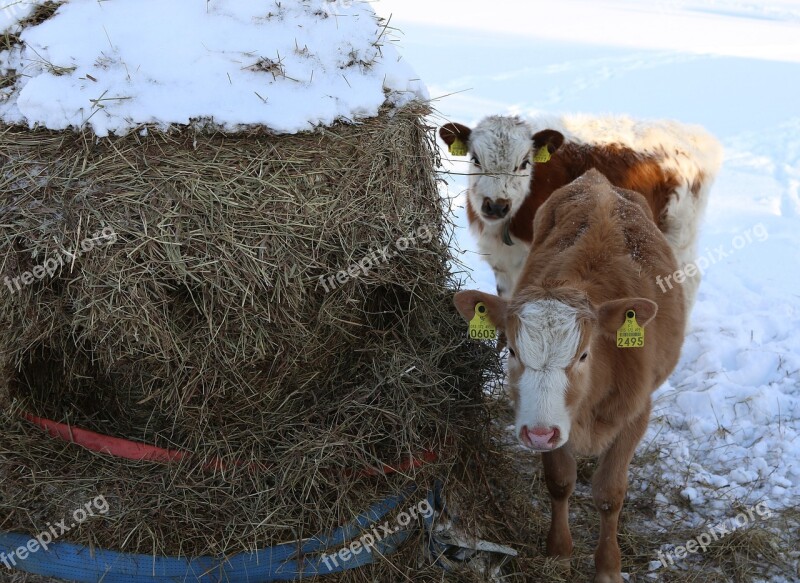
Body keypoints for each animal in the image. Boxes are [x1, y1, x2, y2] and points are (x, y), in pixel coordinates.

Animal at [440, 114, 720, 314]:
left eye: (524, 163)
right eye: (475, 159)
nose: (496, 205)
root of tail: (695, 136)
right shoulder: (502, 263)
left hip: (678, 232)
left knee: (687, 279)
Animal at [454, 168, 684, 580]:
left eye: (584, 355)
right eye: (512, 351)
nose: (538, 434)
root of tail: (598, 181)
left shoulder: (636, 413)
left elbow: (609, 494)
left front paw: (608, 566)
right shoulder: (548, 421)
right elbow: (560, 481)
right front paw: (559, 551)